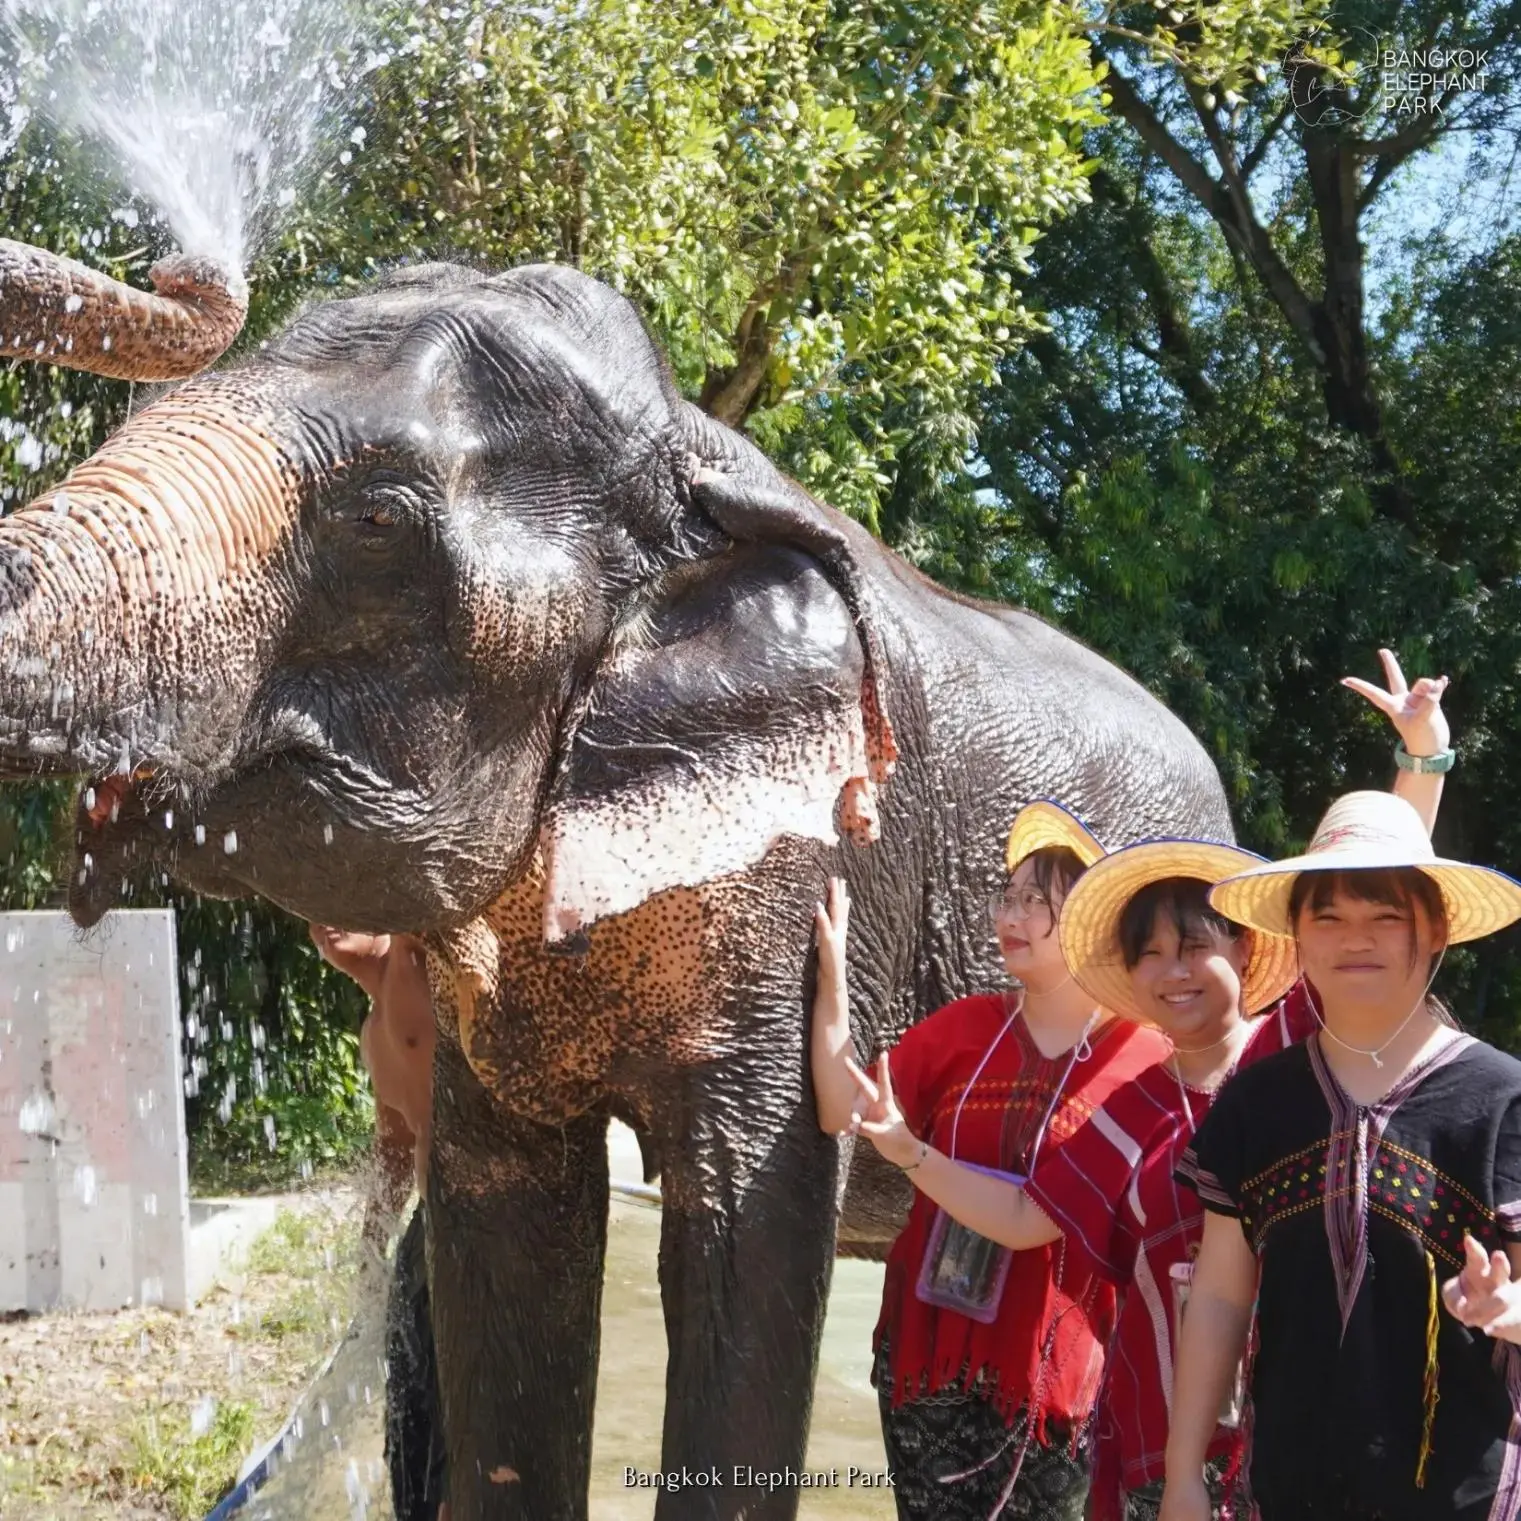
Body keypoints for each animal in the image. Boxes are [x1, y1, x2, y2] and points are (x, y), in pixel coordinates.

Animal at [0, 243, 1233, 1520]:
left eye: (378, 520)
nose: (172, 264)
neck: (695, 448)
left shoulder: (799, 877)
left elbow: (748, 1225)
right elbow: (505, 1225)